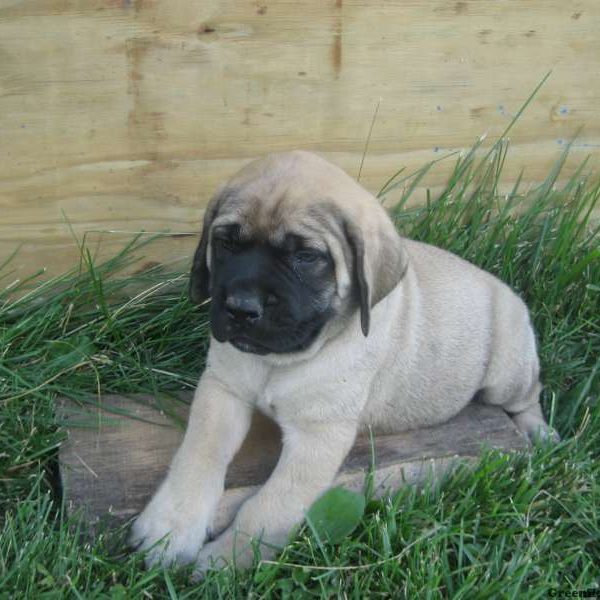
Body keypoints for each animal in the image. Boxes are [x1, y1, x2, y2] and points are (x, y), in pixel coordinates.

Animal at [130, 150, 556, 576]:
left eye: (306, 257)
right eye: (226, 243)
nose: (241, 308)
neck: (281, 361)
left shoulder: (319, 435)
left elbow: (272, 504)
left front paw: (230, 557)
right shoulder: (223, 389)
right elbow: (197, 456)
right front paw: (170, 527)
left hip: (506, 370)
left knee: (529, 394)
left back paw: (540, 432)